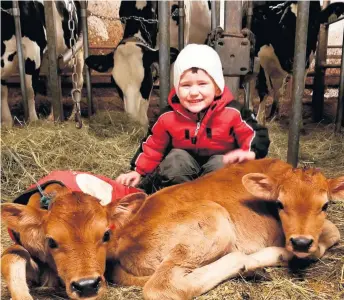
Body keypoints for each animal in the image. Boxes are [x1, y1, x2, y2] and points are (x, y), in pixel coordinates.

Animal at [1, 158, 342, 298]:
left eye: (325, 205)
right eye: (281, 204)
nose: (300, 242)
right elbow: (334, 233)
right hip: (213, 220)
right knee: (162, 286)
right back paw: (250, 262)